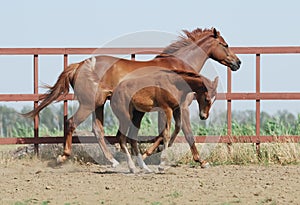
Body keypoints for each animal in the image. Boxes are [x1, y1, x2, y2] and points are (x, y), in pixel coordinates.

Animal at [22, 26, 240, 167]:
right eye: (225, 45)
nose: (237, 63)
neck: (178, 67)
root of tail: (80, 65)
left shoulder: (168, 108)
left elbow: (168, 132)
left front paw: (151, 153)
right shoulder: (180, 107)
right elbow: (185, 132)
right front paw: (200, 160)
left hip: (99, 105)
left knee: (97, 130)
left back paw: (113, 160)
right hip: (88, 104)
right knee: (71, 123)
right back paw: (64, 157)